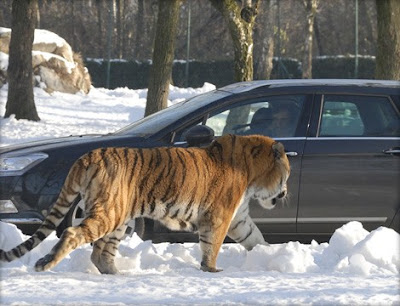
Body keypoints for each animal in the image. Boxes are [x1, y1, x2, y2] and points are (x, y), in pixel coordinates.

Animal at [0, 135, 290, 274]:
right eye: (286, 173)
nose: (286, 192)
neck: (253, 175)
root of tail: (89, 155)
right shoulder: (219, 216)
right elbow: (212, 246)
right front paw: (211, 269)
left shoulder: (238, 217)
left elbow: (255, 237)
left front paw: (269, 255)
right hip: (109, 214)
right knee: (74, 233)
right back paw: (47, 263)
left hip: (119, 219)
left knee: (100, 252)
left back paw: (117, 274)